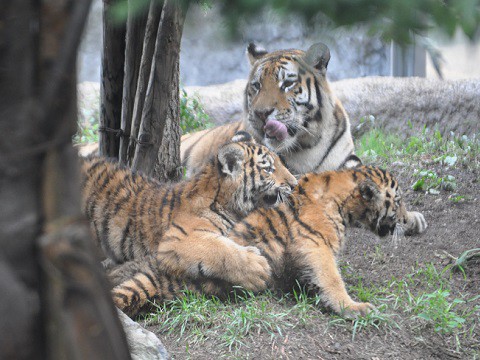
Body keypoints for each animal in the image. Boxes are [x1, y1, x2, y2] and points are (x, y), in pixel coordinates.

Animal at [106, 165, 428, 316]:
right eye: (397, 201)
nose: (403, 218)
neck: (345, 203)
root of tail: (159, 273)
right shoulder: (315, 243)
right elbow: (332, 278)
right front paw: (351, 307)